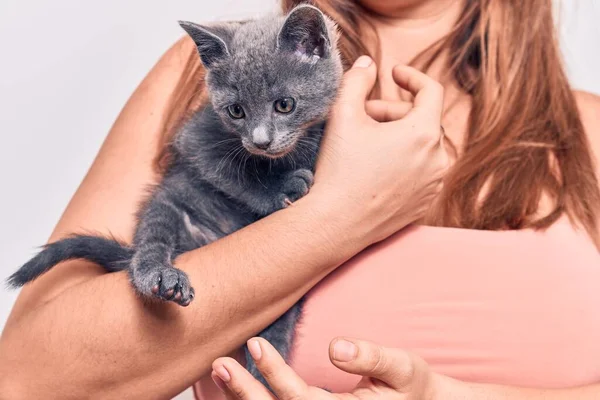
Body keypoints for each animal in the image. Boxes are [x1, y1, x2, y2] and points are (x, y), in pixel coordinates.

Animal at [8, 3, 342, 384]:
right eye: (236, 111)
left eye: (285, 105)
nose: (260, 141)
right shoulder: (198, 140)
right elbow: (236, 175)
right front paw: (280, 188)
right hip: (167, 207)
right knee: (149, 247)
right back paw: (161, 276)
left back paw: (264, 360)